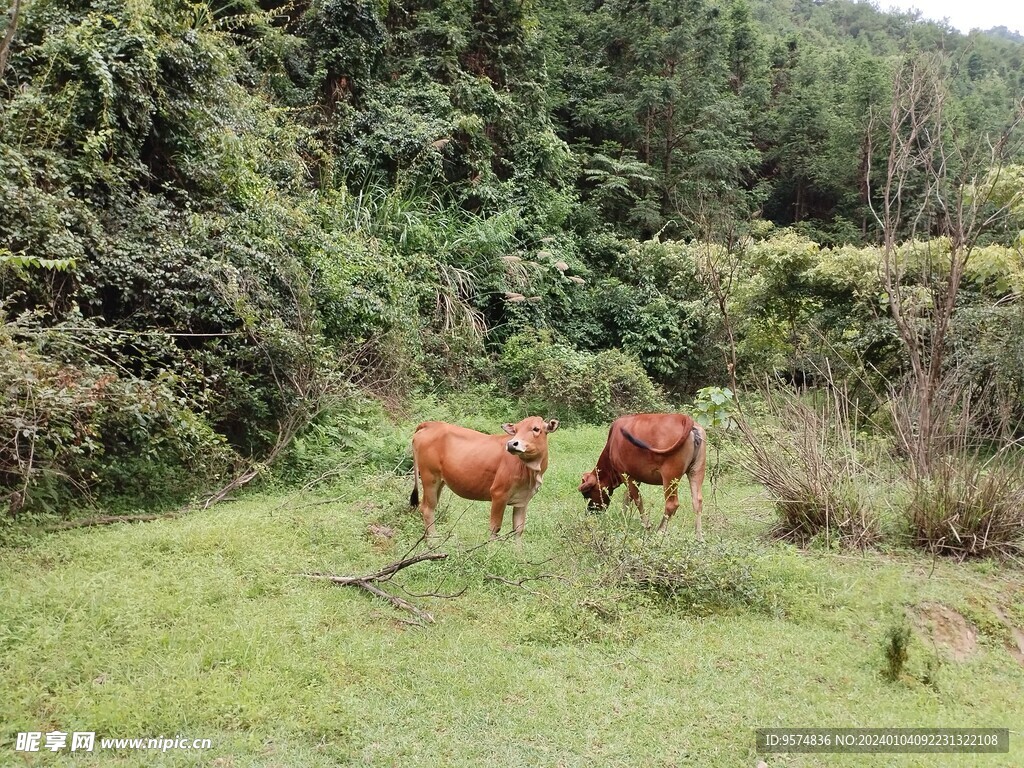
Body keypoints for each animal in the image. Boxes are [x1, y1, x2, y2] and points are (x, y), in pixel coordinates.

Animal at [407, 417, 561, 536]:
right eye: (515, 430)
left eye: (536, 429)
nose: (512, 444)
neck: (530, 471)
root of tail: (430, 424)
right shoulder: (498, 494)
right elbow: (494, 528)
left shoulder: (523, 500)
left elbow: (518, 530)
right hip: (430, 477)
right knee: (427, 509)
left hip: (439, 481)